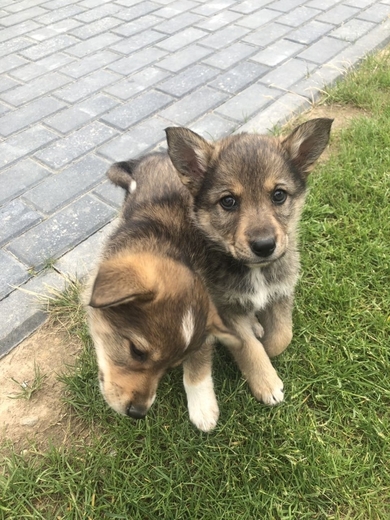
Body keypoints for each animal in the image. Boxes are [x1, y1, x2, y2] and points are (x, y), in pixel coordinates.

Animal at [84, 156, 239, 432]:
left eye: (170, 367)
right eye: (137, 351)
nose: (138, 413)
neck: (169, 245)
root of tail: (155, 156)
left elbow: (199, 363)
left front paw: (203, 408)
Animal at [166, 119, 334, 406]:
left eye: (278, 195)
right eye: (228, 201)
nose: (264, 246)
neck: (255, 272)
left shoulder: (281, 292)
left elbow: (282, 336)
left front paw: (268, 346)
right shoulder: (226, 309)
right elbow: (249, 348)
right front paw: (266, 382)